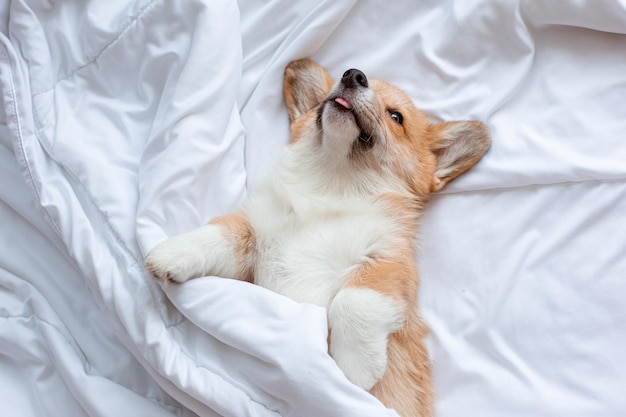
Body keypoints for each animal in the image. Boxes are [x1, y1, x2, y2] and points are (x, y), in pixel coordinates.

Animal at [145, 58, 488, 416]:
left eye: (396, 117)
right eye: (338, 83)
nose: (354, 75)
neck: (332, 184)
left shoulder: (390, 261)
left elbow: (353, 299)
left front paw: (356, 368)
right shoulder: (256, 238)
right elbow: (220, 234)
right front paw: (173, 253)